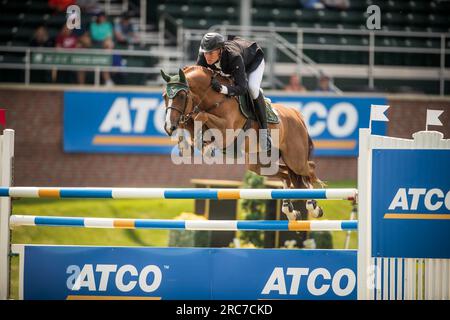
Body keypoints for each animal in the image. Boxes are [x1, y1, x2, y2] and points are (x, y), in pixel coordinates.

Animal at [161, 65, 324, 220]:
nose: (168, 127)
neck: (214, 99)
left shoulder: (226, 130)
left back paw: (313, 207)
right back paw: (290, 211)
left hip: (295, 159)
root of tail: (296, 115)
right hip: (258, 163)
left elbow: (201, 116)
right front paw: (187, 146)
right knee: (286, 175)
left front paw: (207, 148)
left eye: (181, 95)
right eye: (164, 96)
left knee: (309, 169)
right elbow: (192, 123)